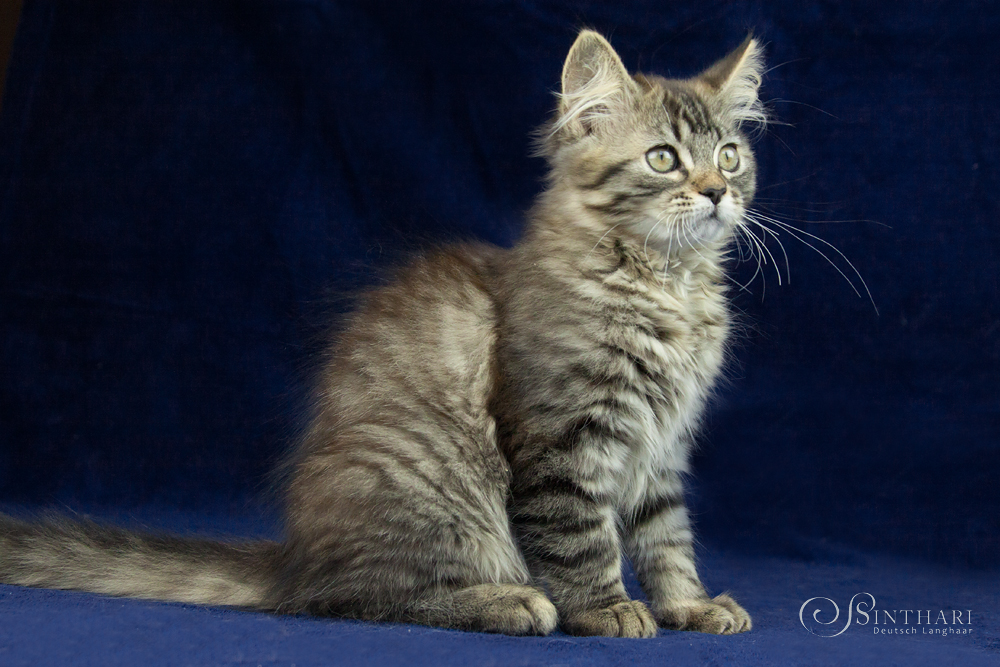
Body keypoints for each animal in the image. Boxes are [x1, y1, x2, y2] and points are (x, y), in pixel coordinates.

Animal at [1, 30, 764, 636]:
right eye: (663, 158)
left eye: (729, 156)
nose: (716, 192)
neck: (668, 285)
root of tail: (295, 559)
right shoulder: (563, 437)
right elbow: (582, 538)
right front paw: (606, 609)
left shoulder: (662, 446)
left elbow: (667, 536)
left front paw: (689, 605)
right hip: (430, 481)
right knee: (356, 598)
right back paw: (507, 600)